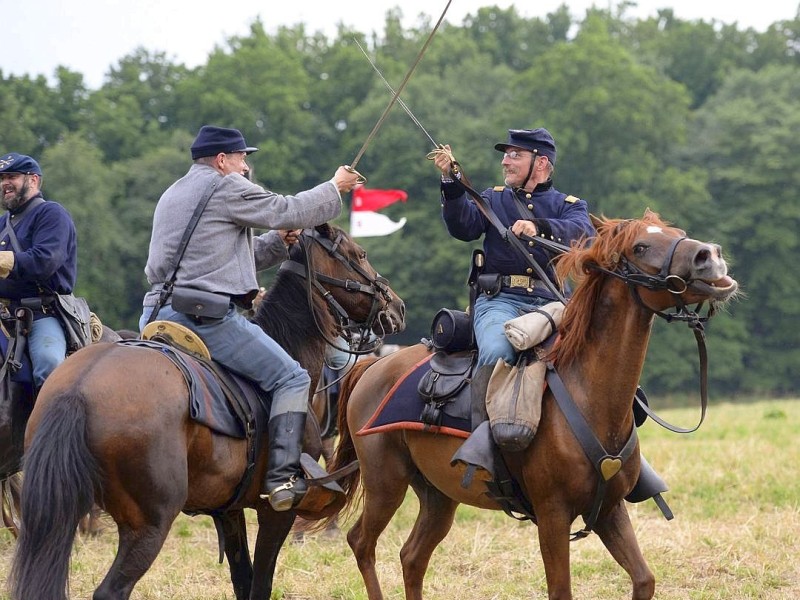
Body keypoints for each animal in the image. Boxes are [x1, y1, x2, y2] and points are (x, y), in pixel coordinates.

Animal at [7, 225, 406, 600]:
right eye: (360, 253)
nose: (397, 307)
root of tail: (78, 389)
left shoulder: (228, 510)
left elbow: (242, 580)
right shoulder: (276, 513)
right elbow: (261, 583)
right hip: (148, 524)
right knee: (112, 590)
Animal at [324, 211, 736, 600]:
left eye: (676, 232)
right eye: (639, 247)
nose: (711, 256)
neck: (588, 395)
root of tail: (373, 366)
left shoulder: (609, 510)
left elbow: (644, 580)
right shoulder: (553, 515)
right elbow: (561, 589)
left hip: (438, 497)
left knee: (412, 557)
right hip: (385, 482)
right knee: (362, 543)